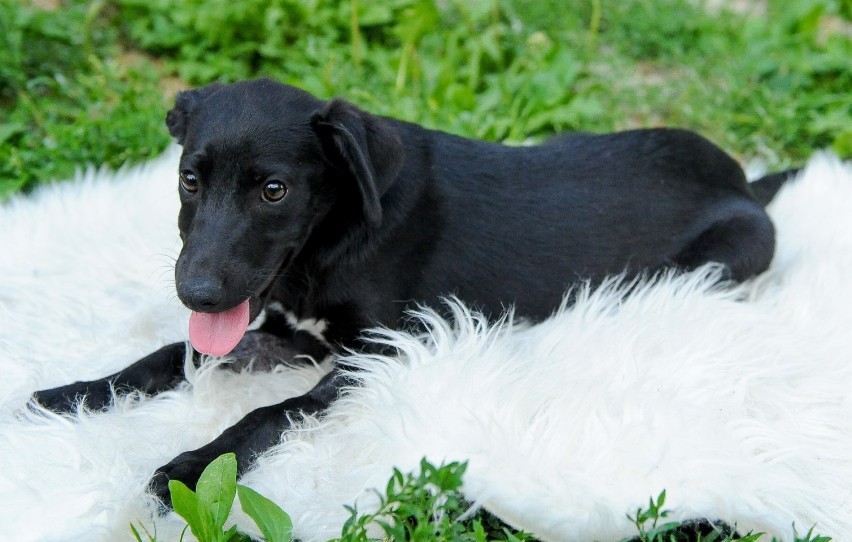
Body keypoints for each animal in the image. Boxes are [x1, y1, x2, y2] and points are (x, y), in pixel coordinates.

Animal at [31, 77, 792, 506]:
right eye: (190, 179)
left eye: (274, 190)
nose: (198, 293)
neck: (334, 238)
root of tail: (742, 177)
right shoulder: (282, 329)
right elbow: (165, 356)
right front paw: (74, 394)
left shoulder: (380, 350)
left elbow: (271, 412)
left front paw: (190, 467)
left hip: (726, 257)